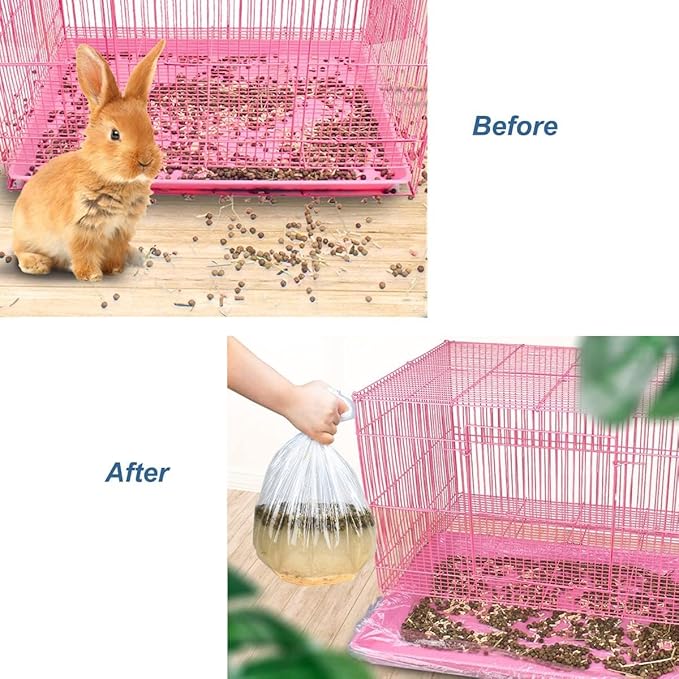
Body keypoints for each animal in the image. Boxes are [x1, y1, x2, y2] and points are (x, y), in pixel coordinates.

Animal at [12, 39, 166, 281]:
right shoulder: (83, 228)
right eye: (115, 134)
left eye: (151, 129)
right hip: (29, 235)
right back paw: (37, 264)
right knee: (20, 252)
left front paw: (114, 269)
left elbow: (114, 252)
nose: (145, 161)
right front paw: (92, 276)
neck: (108, 176)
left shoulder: (119, 231)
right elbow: (84, 253)